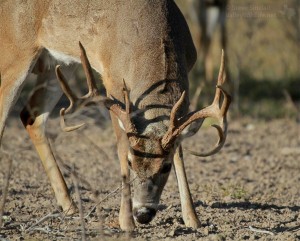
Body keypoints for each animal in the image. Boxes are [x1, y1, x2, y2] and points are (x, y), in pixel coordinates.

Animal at [0, 0, 230, 231]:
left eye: (165, 167)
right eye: (130, 163)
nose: (143, 213)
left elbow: (179, 151)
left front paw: (192, 218)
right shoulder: (112, 82)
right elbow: (121, 146)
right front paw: (126, 222)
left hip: (61, 64)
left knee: (31, 117)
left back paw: (70, 205)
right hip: (15, 51)